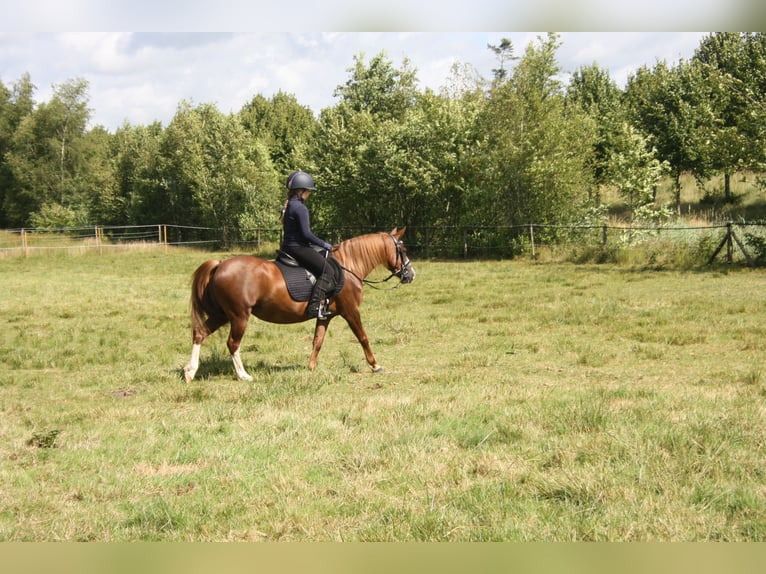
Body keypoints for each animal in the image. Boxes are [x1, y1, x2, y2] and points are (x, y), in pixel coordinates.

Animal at [184, 228, 416, 382]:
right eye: (403, 249)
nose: (411, 274)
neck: (348, 266)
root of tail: (220, 264)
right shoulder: (350, 311)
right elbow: (363, 337)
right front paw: (375, 365)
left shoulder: (325, 315)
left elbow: (318, 341)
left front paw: (311, 367)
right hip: (239, 316)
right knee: (233, 343)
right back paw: (243, 375)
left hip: (222, 314)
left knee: (200, 333)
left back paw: (190, 371)